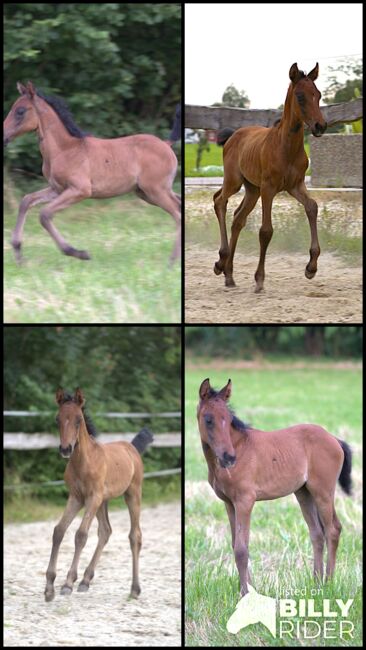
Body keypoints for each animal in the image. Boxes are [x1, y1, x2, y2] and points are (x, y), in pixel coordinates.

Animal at [44, 388, 153, 600]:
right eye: (57, 419)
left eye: (78, 419)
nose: (65, 449)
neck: (84, 462)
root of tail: (131, 447)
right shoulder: (76, 497)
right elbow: (59, 531)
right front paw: (49, 587)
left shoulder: (92, 498)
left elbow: (80, 535)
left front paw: (68, 583)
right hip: (103, 501)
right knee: (105, 531)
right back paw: (86, 580)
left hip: (132, 493)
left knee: (135, 535)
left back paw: (135, 589)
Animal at [197, 378, 352, 596]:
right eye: (208, 419)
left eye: (228, 418)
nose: (229, 458)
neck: (240, 448)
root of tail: (334, 439)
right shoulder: (229, 503)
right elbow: (235, 543)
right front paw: (249, 588)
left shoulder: (245, 501)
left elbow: (241, 548)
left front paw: (246, 593)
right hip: (304, 493)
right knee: (317, 533)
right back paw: (316, 583)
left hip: (323, 491)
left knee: (332, 529)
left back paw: (328, 583)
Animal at [213, 62, 328, 290]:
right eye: (300, 96)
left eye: (318, 95)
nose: (320, 126)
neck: (286, 148)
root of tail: (232, 136)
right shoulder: (269, 188)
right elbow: (266, 231)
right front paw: (259, 279)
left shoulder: (295, 185)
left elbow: (312, 207)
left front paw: (311, 268)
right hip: (234, 182)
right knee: (219, 201)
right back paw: (221, 261)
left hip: (252, 189)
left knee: (238, 219)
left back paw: (229, 275)